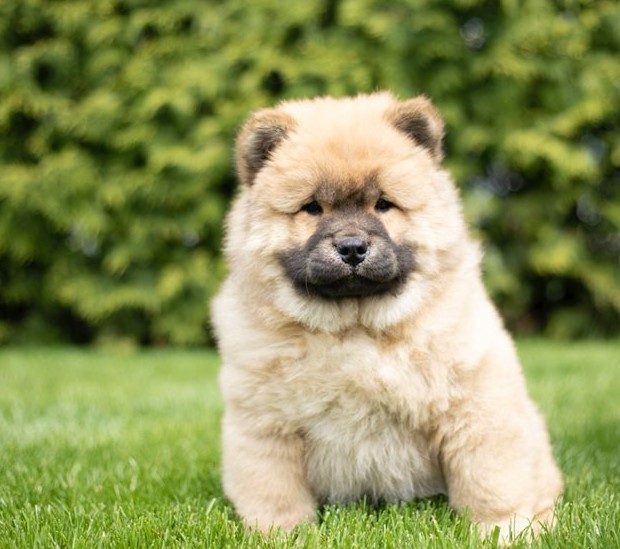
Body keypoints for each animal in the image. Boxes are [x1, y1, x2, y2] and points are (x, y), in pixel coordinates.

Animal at [212, 92, 560, 536]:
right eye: (312, 208)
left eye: (383, 205)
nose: (352, 247)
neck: (355, 328)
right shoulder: (265, 422)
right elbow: (273, 491)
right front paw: (281, 534)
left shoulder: (474, 403)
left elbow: (490, 478)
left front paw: (504, 530)